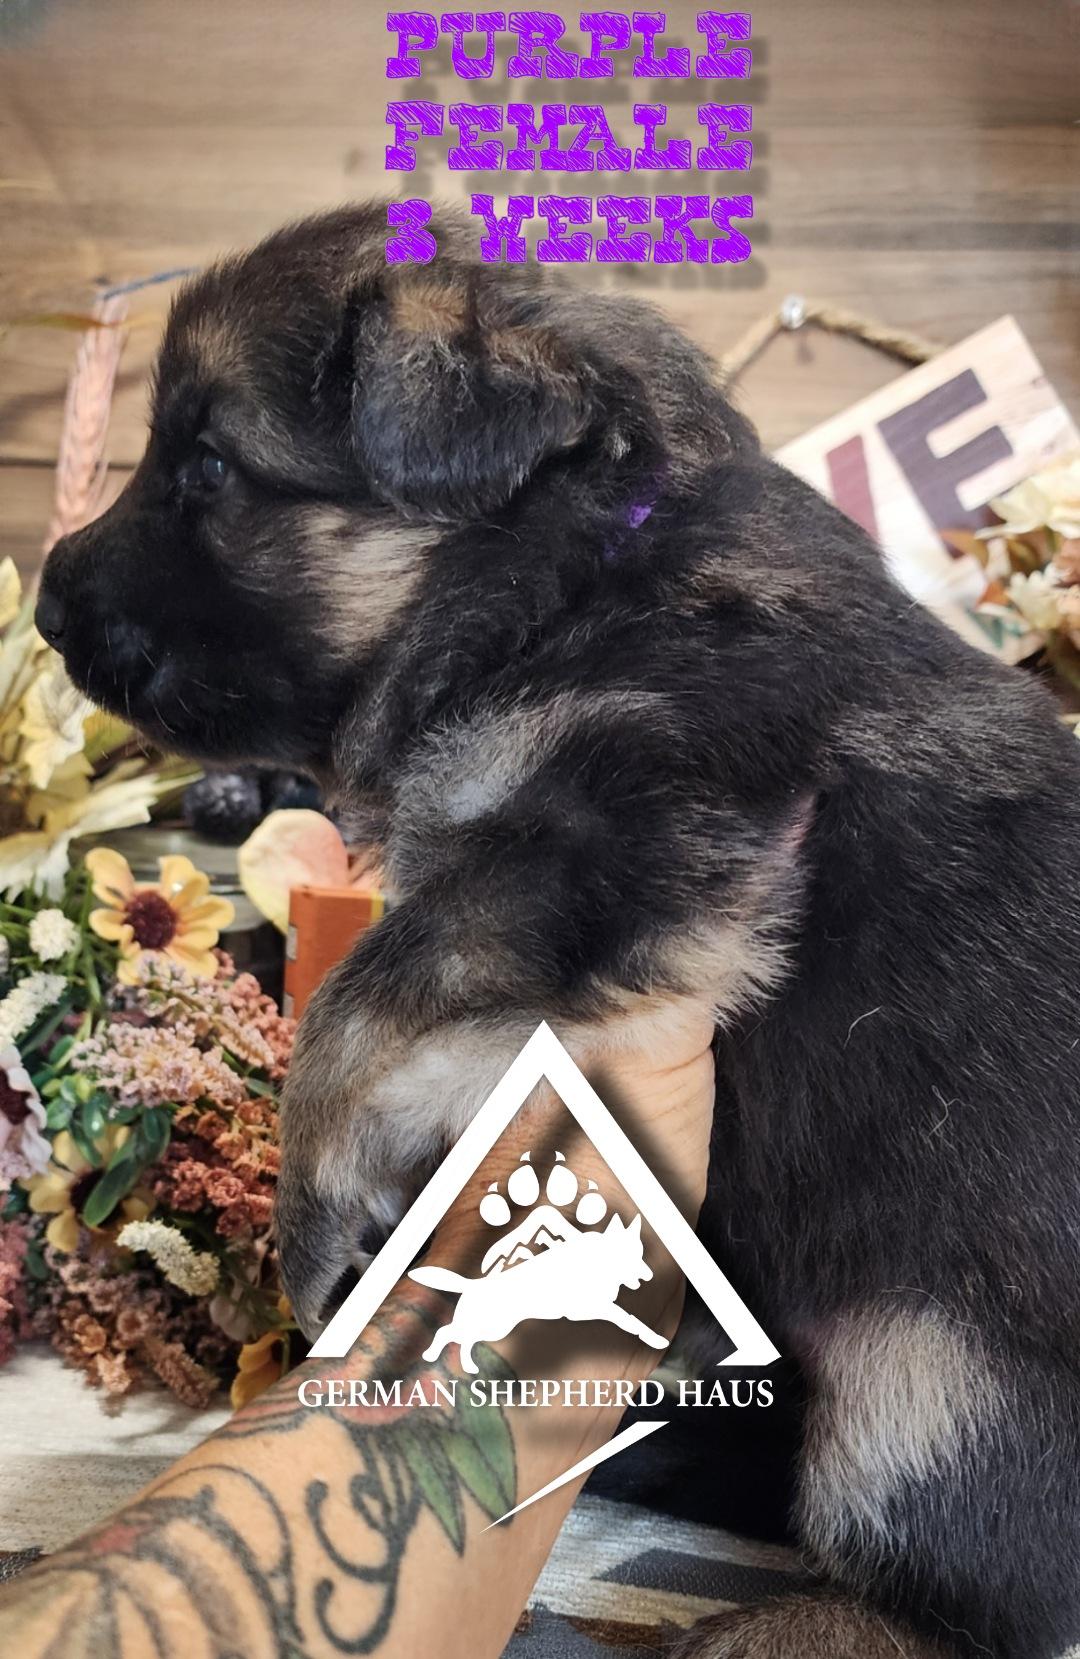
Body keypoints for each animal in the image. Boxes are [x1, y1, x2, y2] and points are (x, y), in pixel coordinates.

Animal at [36, 201, 1080, 1659]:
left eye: (208, 464)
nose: (42, 602)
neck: (574, 568)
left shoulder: (625, 840)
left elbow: (354, 1003)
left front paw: (310, 1218)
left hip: (928, 1370)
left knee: (960, 1601)